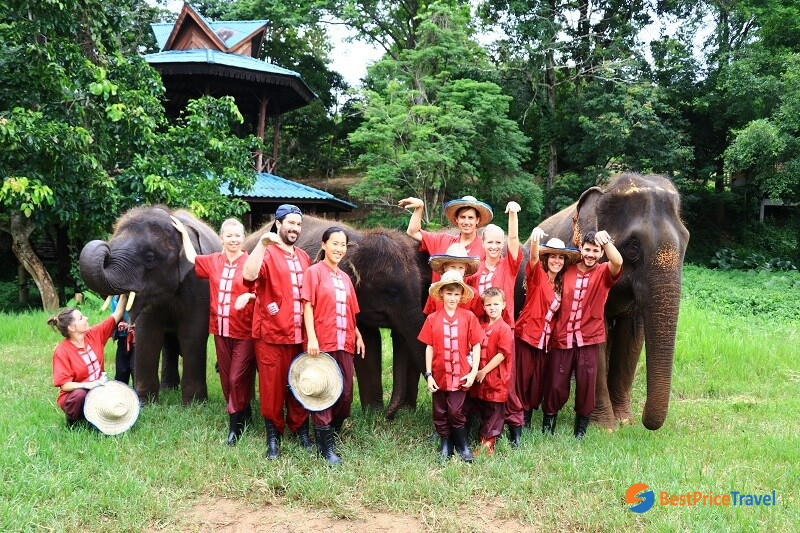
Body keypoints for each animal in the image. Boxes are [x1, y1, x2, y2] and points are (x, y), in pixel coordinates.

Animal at [80, 206, 220, 404]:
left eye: (149, 257)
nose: (106, 248)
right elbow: (148, 334)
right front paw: (147, 403)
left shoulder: (199, 284)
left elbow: (192, 334)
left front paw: (195, 404)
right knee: (168, 340)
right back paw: (168, 389)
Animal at [244, 216, 430, 418]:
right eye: (392, 292)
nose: (390, 415)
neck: (358, 241)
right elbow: (367, 342)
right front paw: (374, 415)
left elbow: (369, 342)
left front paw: (373, 415)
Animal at [517, 173, 690, 430]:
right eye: (633, 246)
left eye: (686, 241)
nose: (644, 421)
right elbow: (596, 337)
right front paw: (606, 427)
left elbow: (632, 338)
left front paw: (625, 421)